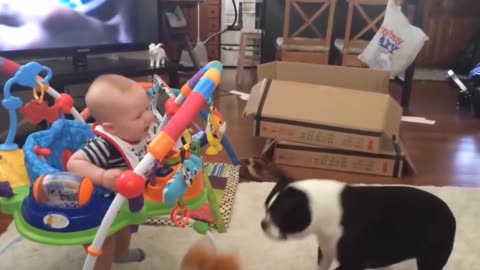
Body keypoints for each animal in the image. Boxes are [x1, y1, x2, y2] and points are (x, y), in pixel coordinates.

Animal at [242, 158, 456, 270]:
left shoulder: (353, 261)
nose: (263, 224)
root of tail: (450, 213)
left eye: (278, 216)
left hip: (432, 256)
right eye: (265, 209)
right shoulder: (325, 250)